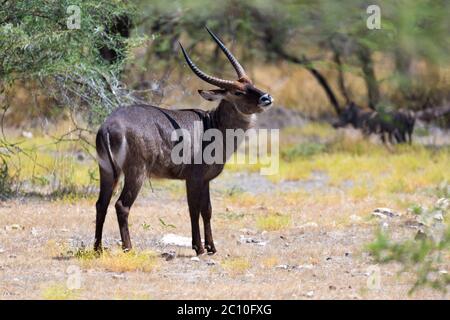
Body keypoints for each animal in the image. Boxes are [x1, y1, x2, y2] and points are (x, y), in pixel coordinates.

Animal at [95, 28, 274, 256]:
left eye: (251, 84)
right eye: (238, 91)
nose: (266, 98)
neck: (212, 125)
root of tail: (108, 127)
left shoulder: (206, 180)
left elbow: (207, 210)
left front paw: (211, 247)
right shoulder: (193, 178)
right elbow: (194, 209)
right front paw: (199, 248)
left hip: (108, 171)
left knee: (101, 204)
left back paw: (97, 249)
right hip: (136, 173)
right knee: (121, 205)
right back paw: (129, 248)